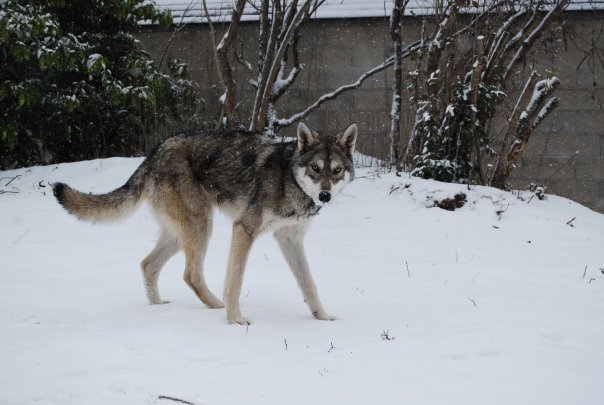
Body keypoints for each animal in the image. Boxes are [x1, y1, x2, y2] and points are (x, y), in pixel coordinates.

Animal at [53, 121, 358, 324]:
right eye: (315, 168)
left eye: (336, 170)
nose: (325, 195)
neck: (289, 180)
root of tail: (154, 153)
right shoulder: (244, 229)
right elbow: (235, 282)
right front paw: (235, 321)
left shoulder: (290, 239)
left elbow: (309, 284)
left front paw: (322, 317)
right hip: (201, 226)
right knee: (190, 274)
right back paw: (216, 306)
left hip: (180, 234)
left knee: (148, 265)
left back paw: (157, 308)